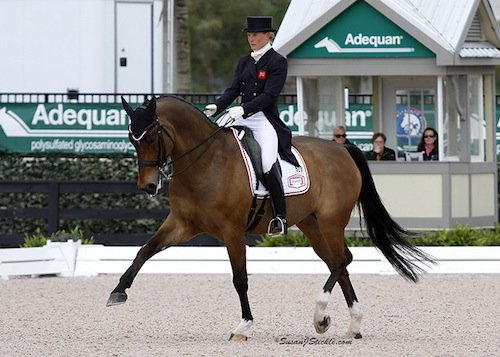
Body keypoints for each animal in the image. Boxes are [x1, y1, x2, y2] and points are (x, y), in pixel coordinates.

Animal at [107, 94, 432, 340]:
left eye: (151, 136)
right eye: (132, 139)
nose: (148, 186)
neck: (206, 161)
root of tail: (342, 150)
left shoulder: (232, 231)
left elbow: (240, 278)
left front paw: (243, 326)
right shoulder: (182, 224)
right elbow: (145, 249)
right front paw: (118, 292)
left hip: (330, 222)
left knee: (341, 261)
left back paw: (321, 315)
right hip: (312, 225)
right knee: (339, 263)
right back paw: (351, 325)